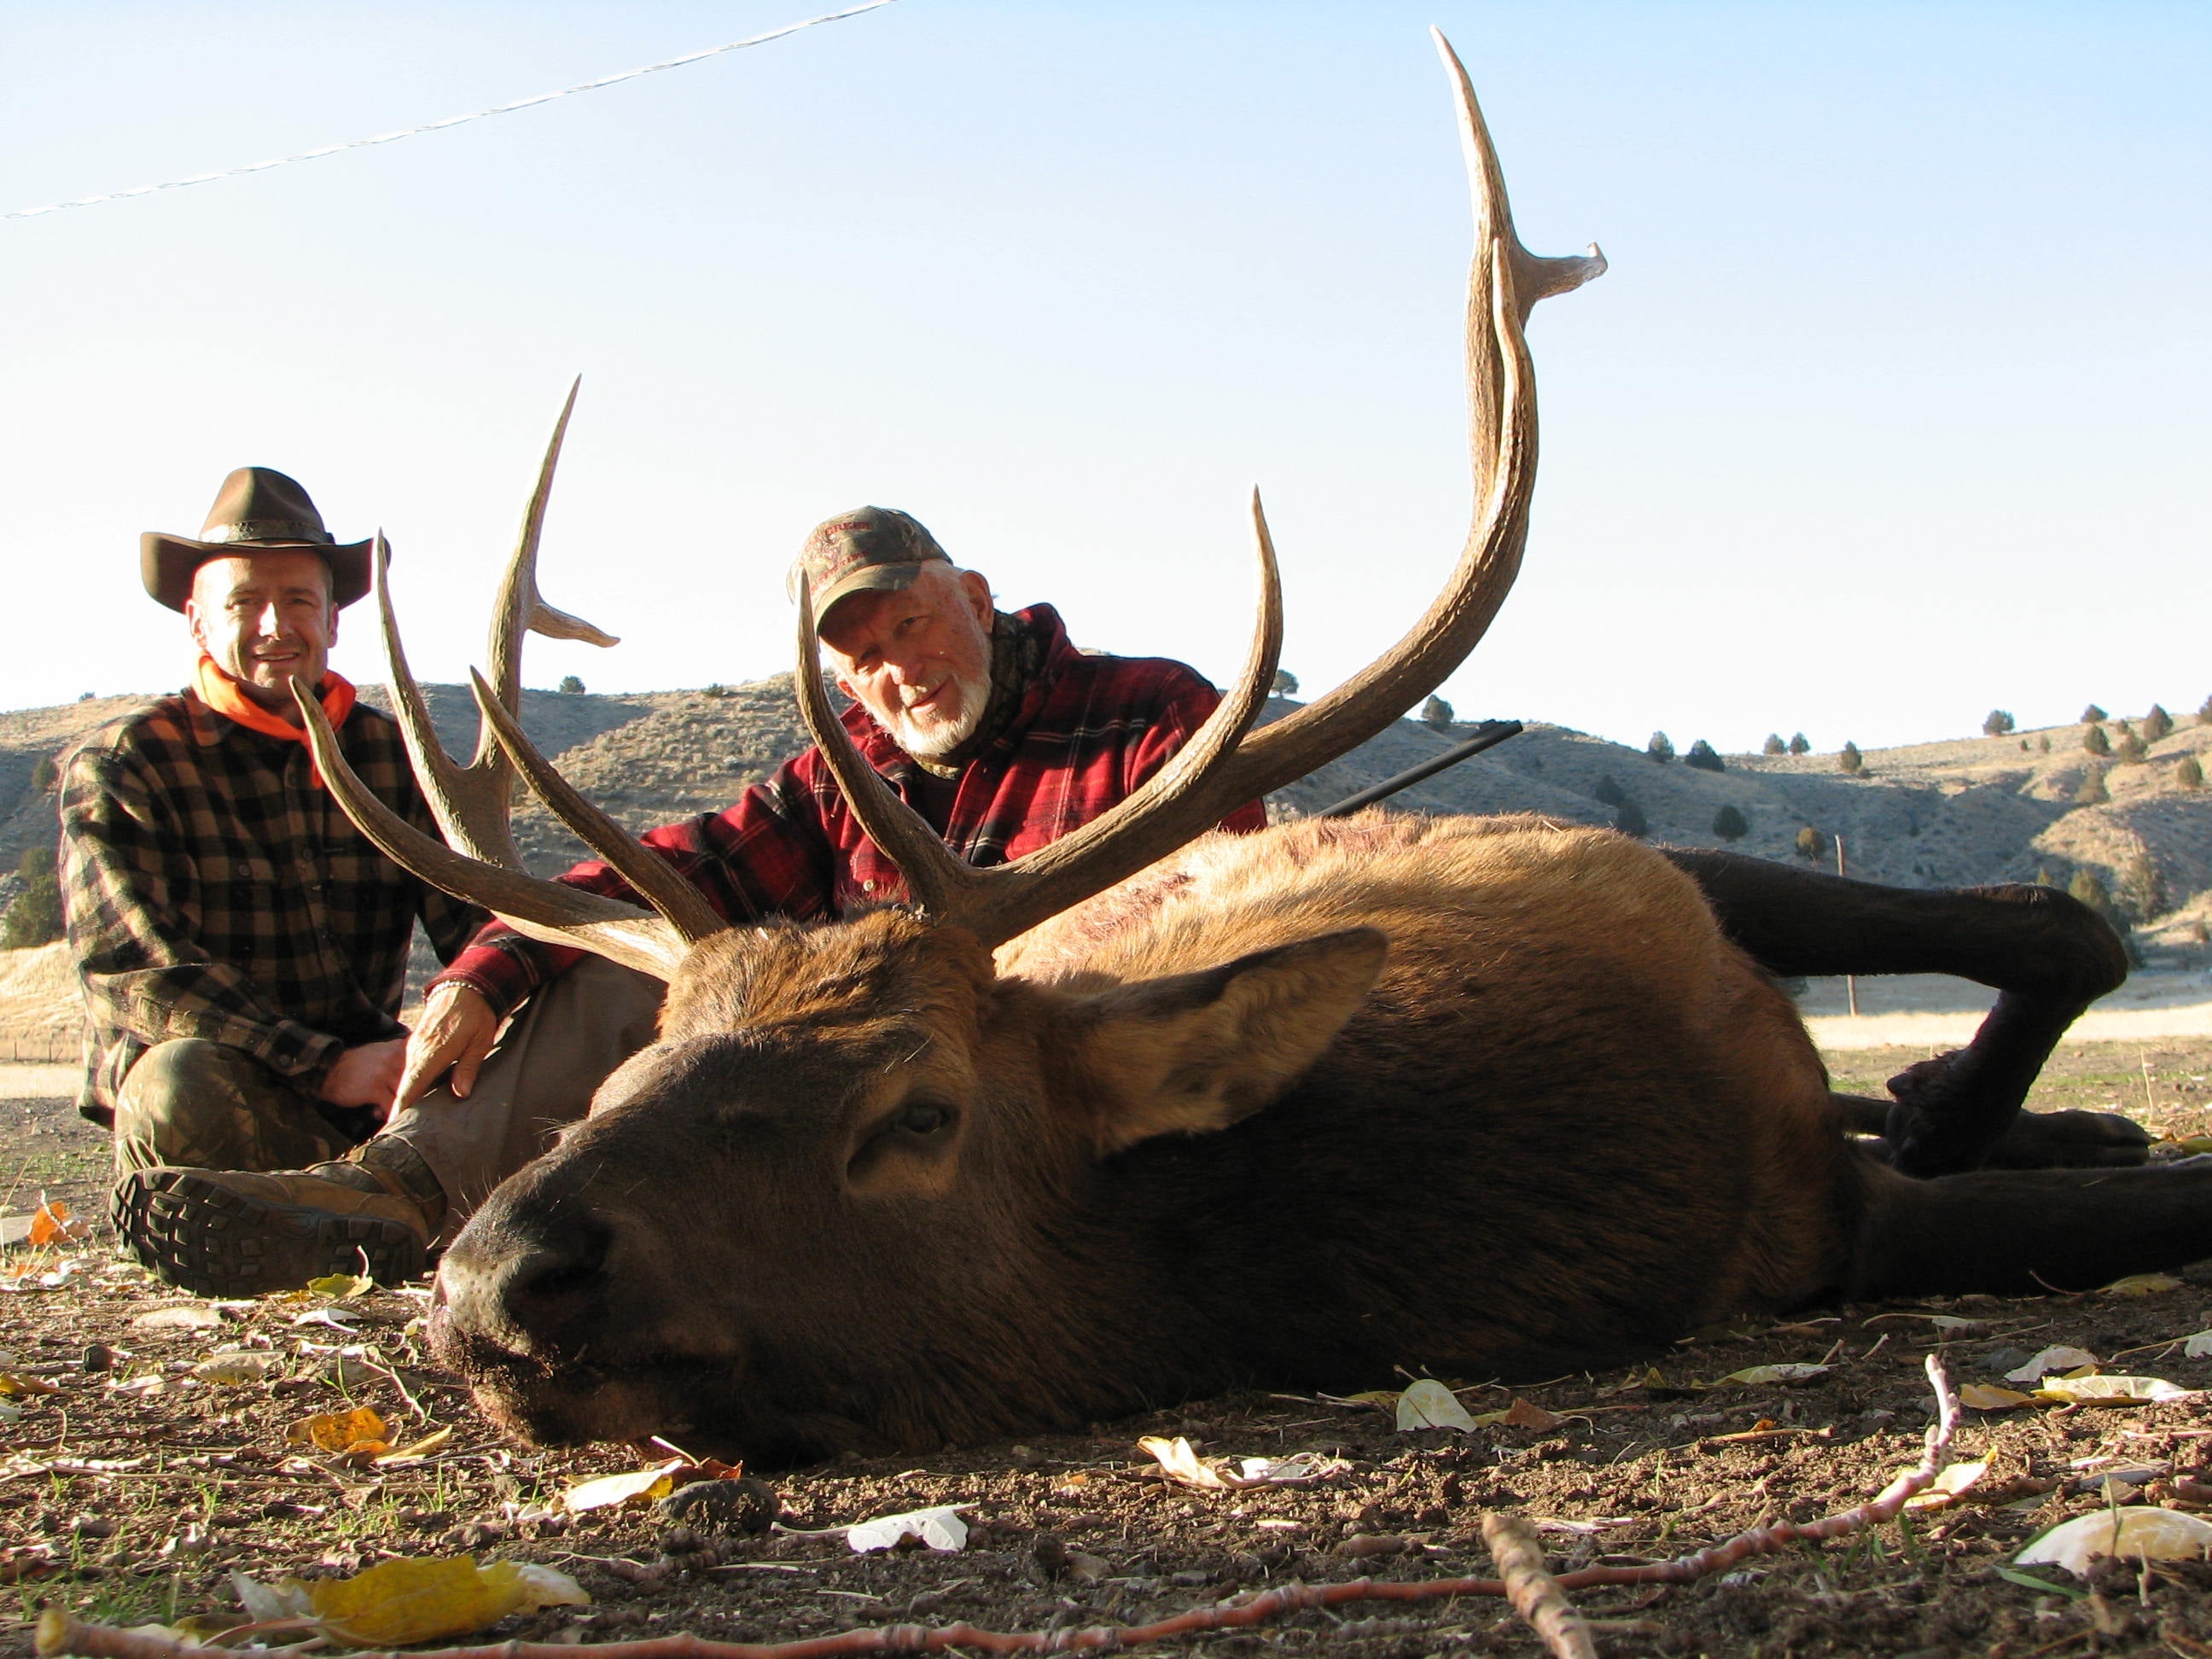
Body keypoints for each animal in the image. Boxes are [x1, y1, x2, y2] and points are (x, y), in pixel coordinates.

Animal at [299, 34, 2192, 1465]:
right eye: (626, 1074)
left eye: (915, 1109)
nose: (502, 1277)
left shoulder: (1806, 1192)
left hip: (1698, 870)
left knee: (2051, 924)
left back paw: (1967, 1098)